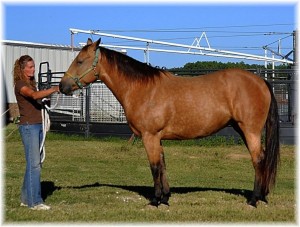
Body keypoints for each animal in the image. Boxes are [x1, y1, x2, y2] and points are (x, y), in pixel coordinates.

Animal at [58, 38, 278, 207]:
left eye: (80, 61)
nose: (62, 86)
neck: (143, 90)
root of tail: (261, 81)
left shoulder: (149, 136)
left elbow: (154, 166)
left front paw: (155, 200)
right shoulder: (157, 138)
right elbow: (163, 165)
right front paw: (165, 198)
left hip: (250, 131)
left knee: (258, 159)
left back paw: (254, 200)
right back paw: (262, 196)